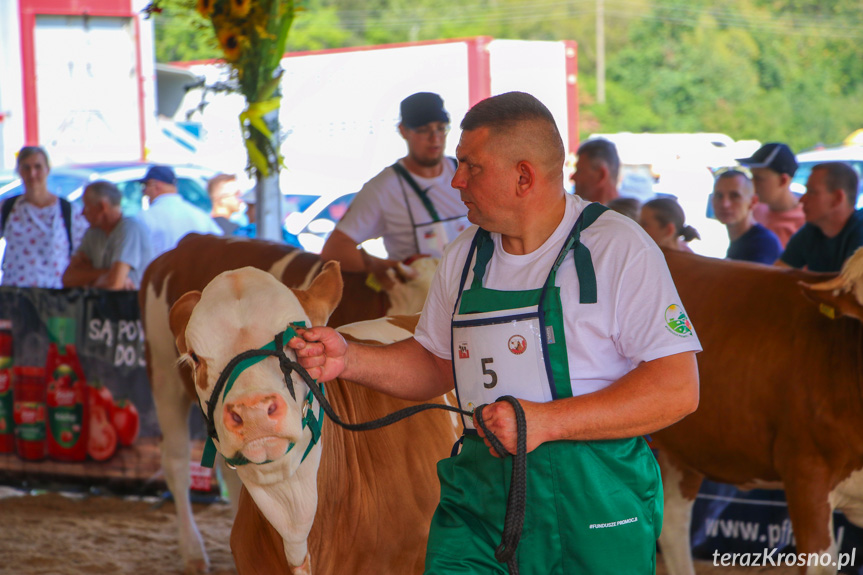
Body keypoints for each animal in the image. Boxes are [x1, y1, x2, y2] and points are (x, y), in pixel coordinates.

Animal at [141, 235, 438, 575]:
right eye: (195, 357)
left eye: (301, 341)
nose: (252, 411)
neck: (296, 525)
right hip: (163, 377)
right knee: (176, 461)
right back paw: (192, 553)